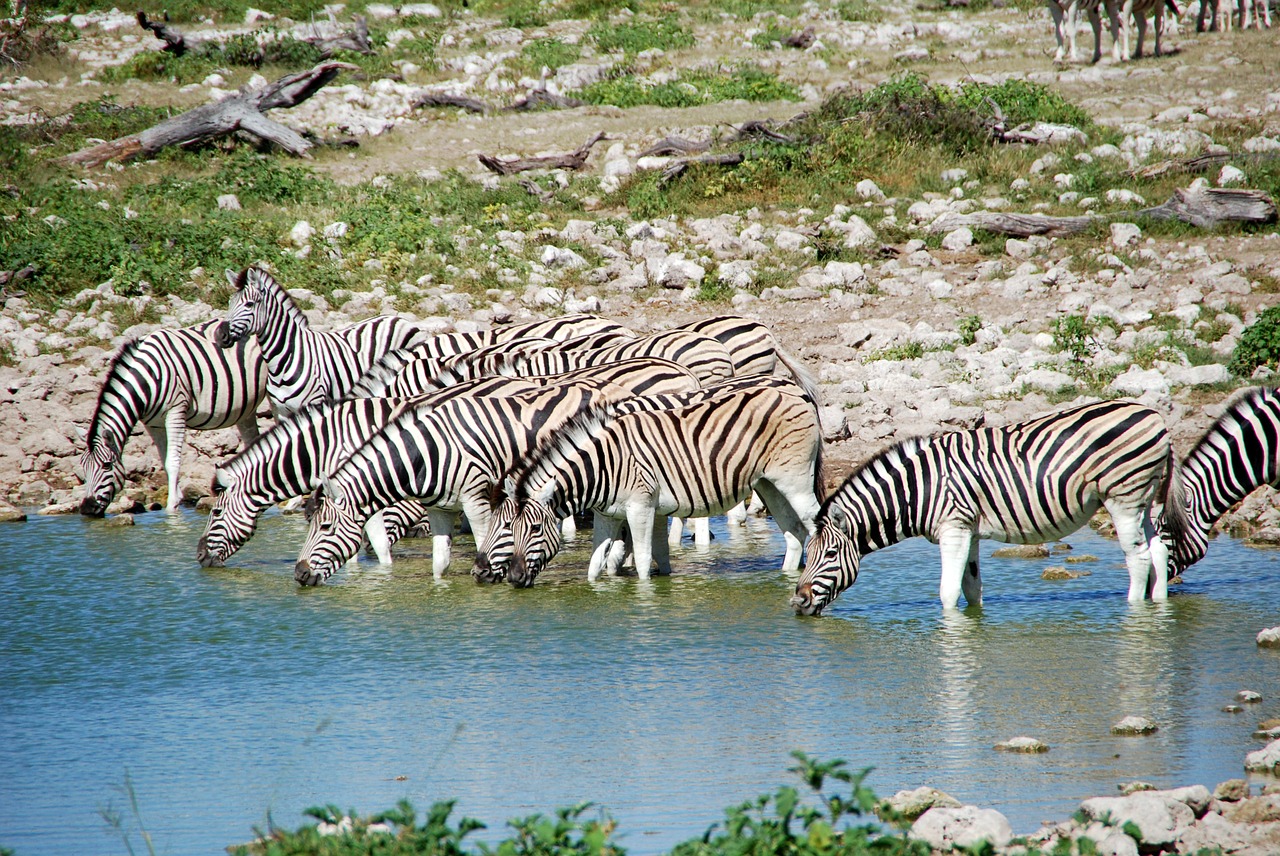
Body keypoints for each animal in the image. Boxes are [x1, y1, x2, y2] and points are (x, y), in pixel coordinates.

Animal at [78, 319, 267, 514]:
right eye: (83, 466)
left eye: (106, 465)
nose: (86, 508)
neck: (148, 380)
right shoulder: (153, 424)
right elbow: (164, 461)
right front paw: (177, 498)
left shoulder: (176, 411)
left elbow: (172, 461)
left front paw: (171, 507)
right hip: (247, 409)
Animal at [215, 264, 422, 414]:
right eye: (229, 303)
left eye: (249, 304)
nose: (219, 335)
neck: (281, 362)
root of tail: (396, 318)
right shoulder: (280, 412)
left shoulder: (314, 403)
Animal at [476, 381, 824, 588]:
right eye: (506, 527)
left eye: (533, 529)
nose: (515, 578)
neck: (602, 465)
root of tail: (797, 393)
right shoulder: (608, 515)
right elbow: (595, 564)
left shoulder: (640, 508)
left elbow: (643, 561)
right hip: (768, 483)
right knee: (794, 532)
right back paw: (785, 576)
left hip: (795, 481)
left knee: (817, 525)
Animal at [788, 399, 1187, 614]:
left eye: (830, 555)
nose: (797, 602)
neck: (919, 489)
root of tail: (1155, 416)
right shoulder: (970, 531)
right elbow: (971, 587)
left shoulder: (953, 528)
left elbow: (948, 591)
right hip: (1143, 500)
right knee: (1157, 550)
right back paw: (1158, 608)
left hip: (1123, 498)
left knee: (1137, 558)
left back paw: (1133, 611)